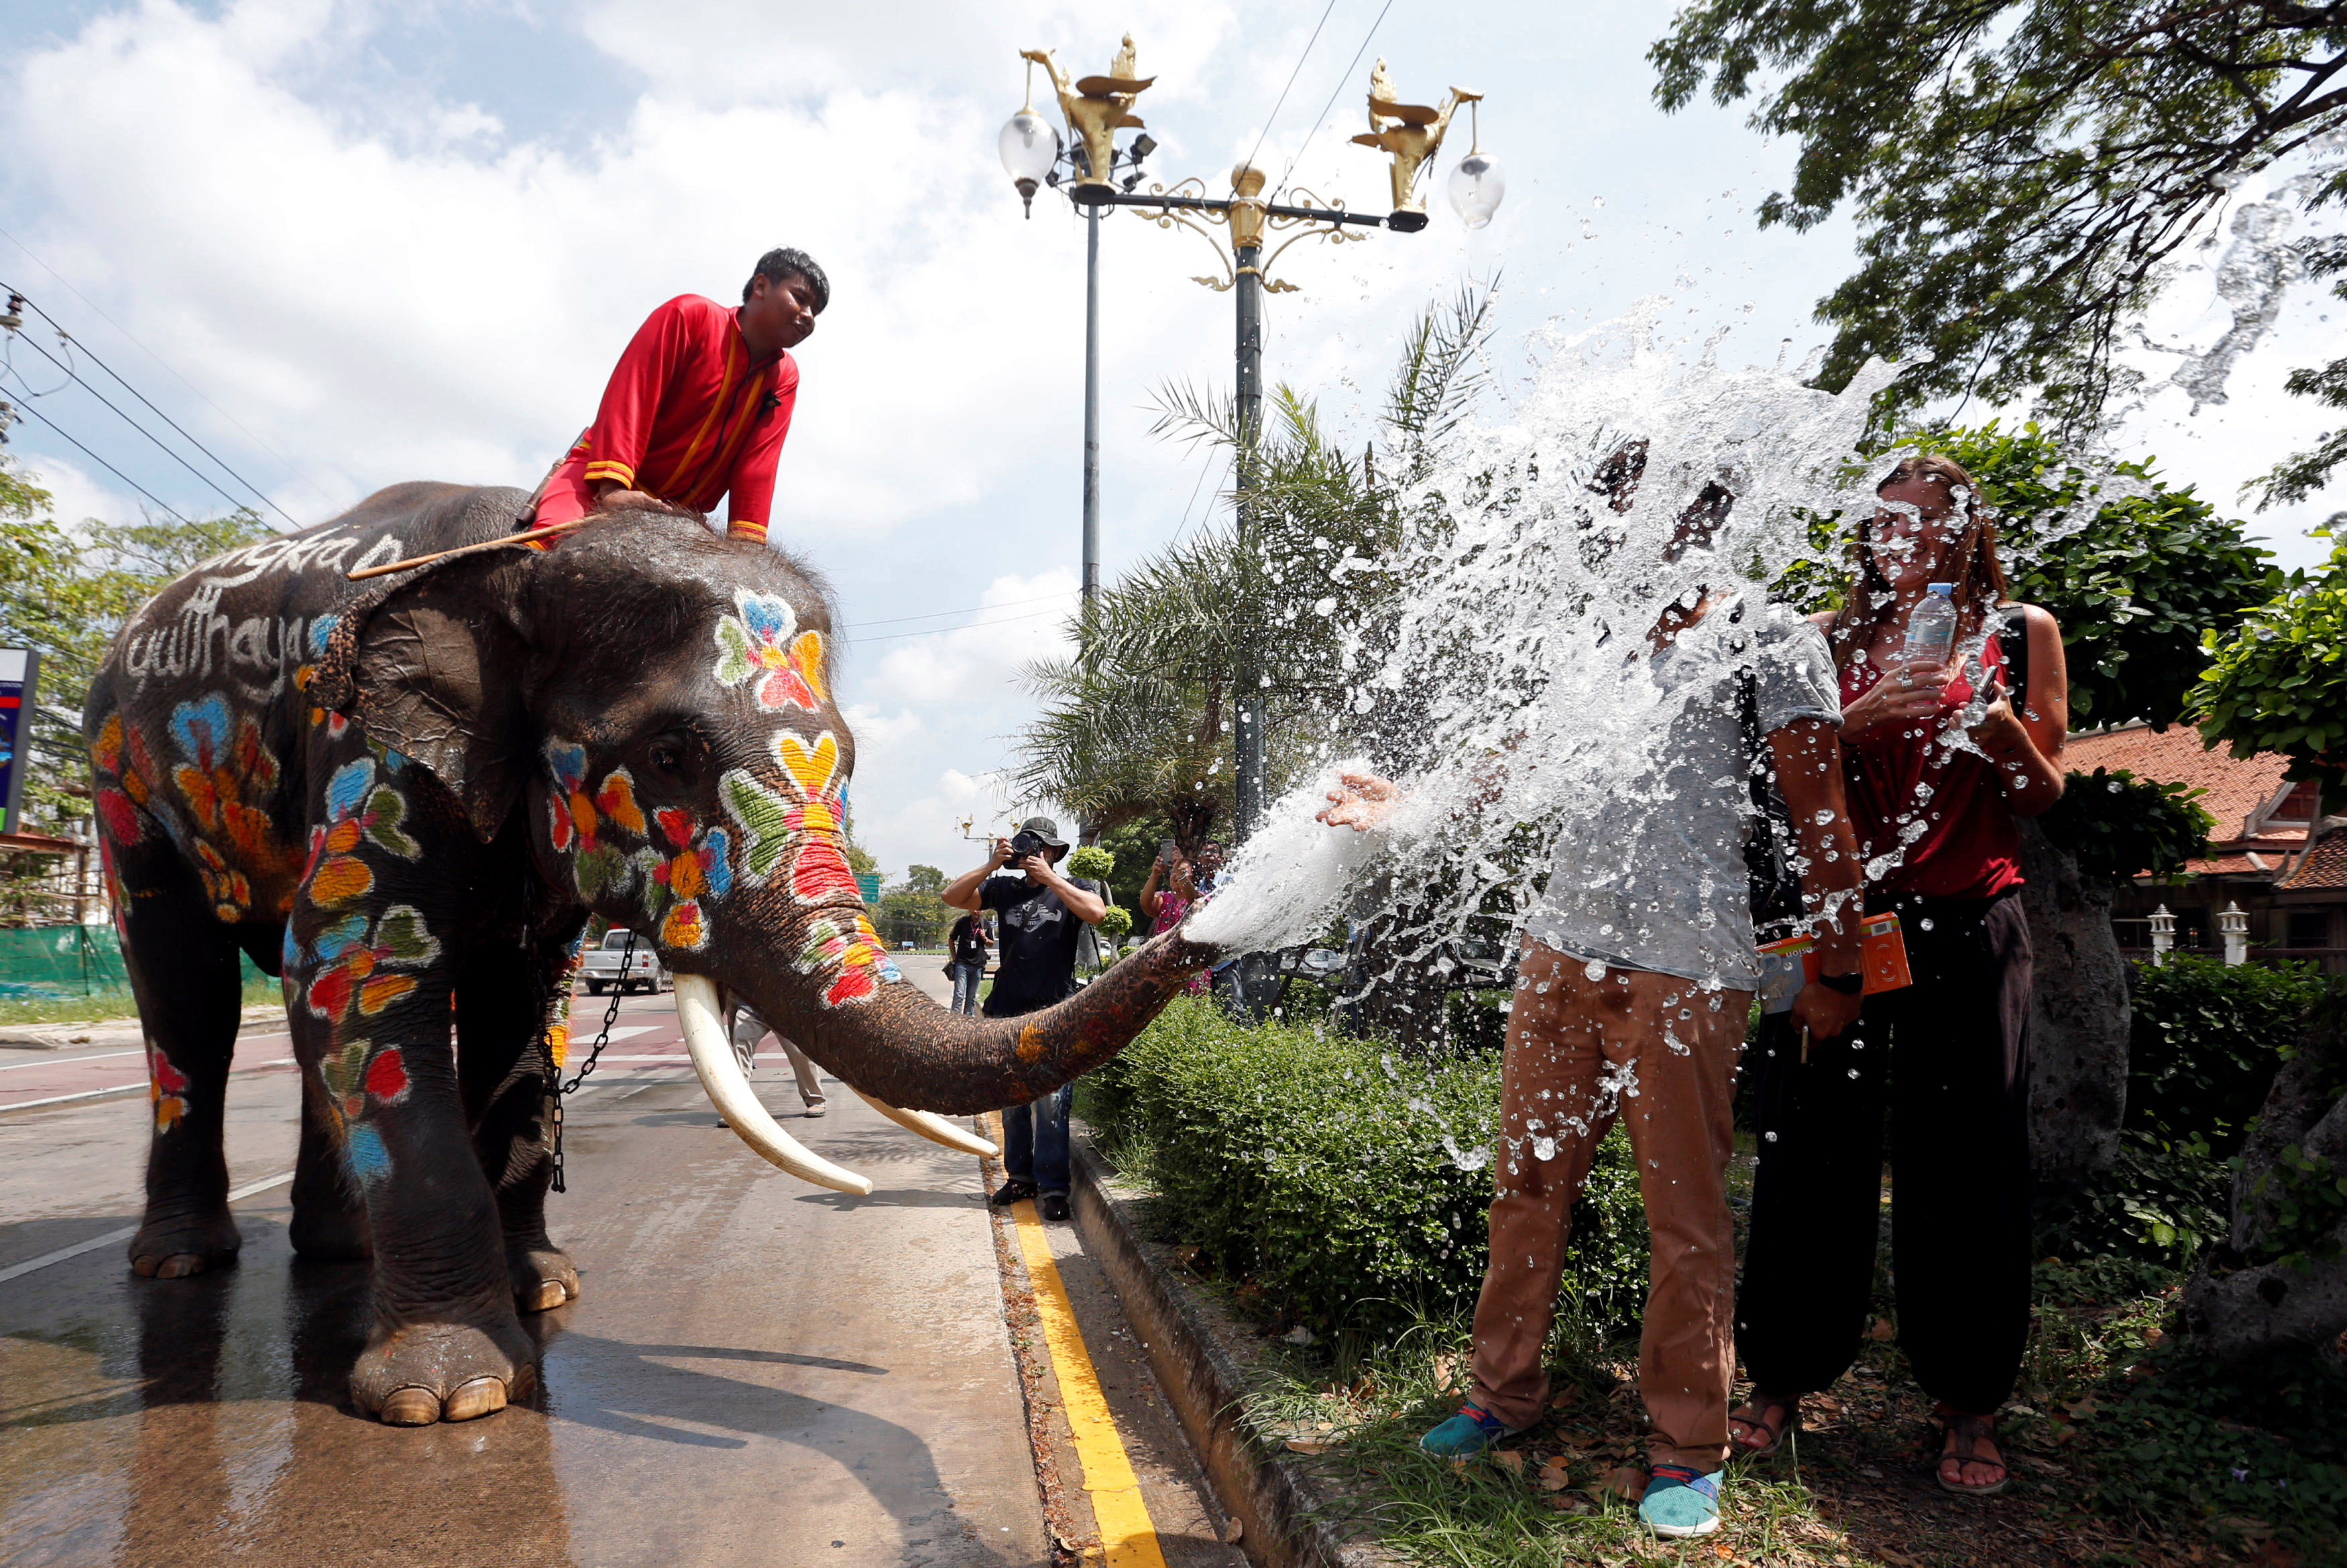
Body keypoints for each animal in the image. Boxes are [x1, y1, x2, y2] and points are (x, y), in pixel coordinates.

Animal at [78, 483, 1211, 1427]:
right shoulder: (372, 753)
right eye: (670, 754)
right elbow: (353, 967)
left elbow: (519, 1007)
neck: (530, 547)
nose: (1194, 930)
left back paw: (334, 1249)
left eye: (849, 756)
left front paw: (545, 1286)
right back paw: (181, 1261)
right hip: (120, 780)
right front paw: (451, 1394)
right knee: (192, 999)